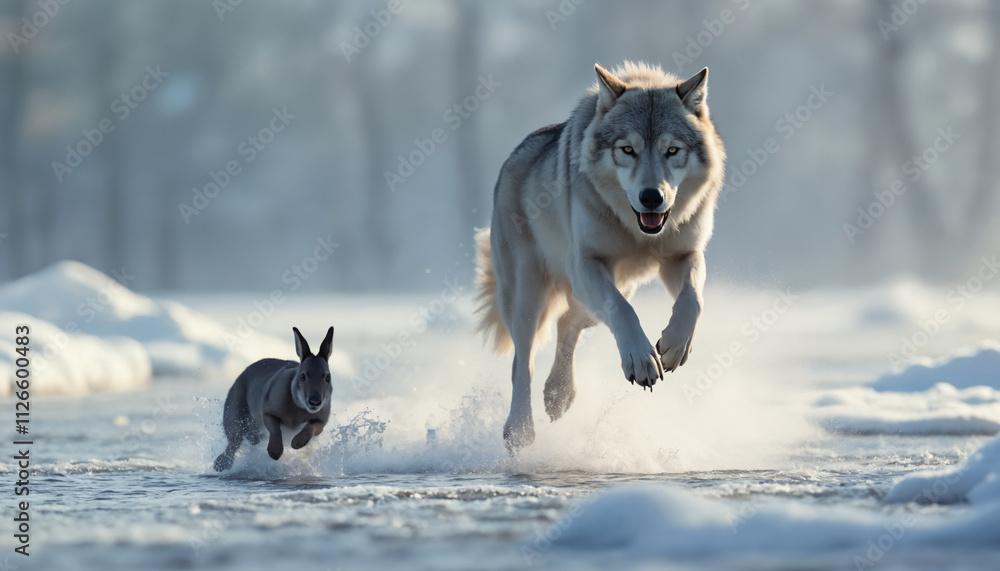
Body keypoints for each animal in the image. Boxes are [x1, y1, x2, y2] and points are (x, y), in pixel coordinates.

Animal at [474, 61, 726, 451]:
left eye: (672, 150)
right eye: (628, 150)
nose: (651, 197)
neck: (637, 232)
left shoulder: (683, 256)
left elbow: (692, 301)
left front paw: (673, 346)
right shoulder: (586, 265)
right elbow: (624, 312)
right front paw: (640, 359)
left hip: (604, 294)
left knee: (568, 325)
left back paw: (559, 395)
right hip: (528, 297)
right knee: (522, 362)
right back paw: (519, 431)